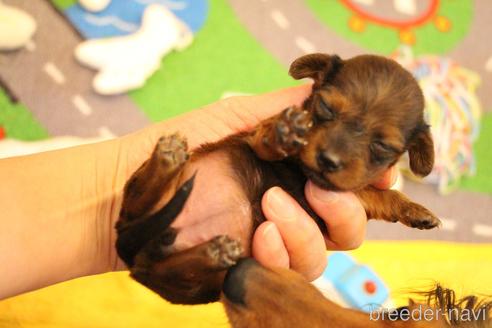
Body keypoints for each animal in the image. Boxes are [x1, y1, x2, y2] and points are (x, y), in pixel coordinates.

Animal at [117, 53, 440, 304]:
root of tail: (134, 252)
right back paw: (166, 160)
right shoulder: (255, 136)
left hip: (199, 282)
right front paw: (282, 133)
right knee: (136, 205)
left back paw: (212, 252)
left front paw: (416, 211)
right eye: (325, 108)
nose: (328, 159)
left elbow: (375, 193)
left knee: (174, 271)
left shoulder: (350, 191)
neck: (305, 172)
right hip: (152, 199)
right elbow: (266, 137)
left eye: (383, 146)